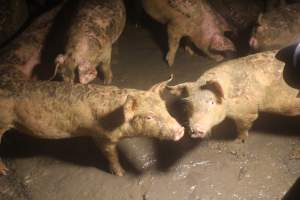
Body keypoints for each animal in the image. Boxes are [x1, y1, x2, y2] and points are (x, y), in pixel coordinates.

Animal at [0, 73, 184, 175]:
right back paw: (5, 172)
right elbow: (111, 155)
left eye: (164, 106)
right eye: (148, 117)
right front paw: (121, 174)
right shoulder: (101, 136)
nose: (181, 130)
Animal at [166, 50, 300, 142]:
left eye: (212, 102)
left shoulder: (247, 112)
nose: (195, 129)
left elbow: (243, 127)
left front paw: (238, 140)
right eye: (189, 105)